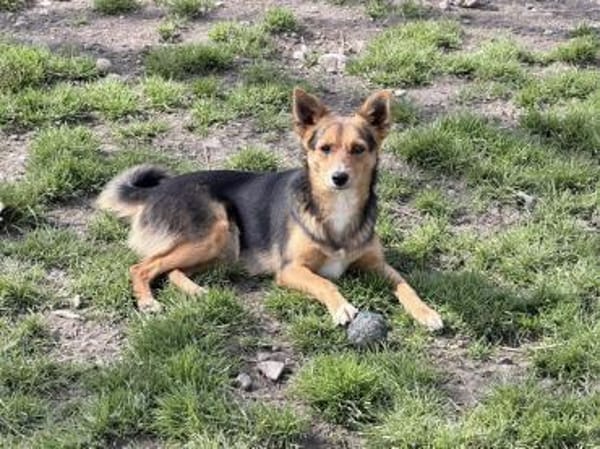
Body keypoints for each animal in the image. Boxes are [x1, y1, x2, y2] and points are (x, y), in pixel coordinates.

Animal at [96, 88, 443, 330]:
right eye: (325, 148)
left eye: (358, 149)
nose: (339, 178)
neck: (336, 208)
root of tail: (157, 190)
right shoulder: (290, 269)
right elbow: (326, 282)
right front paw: (342, 306)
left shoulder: (378, 265)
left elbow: (406, 286)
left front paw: (427, 312)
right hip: (215, 232)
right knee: (143, 267)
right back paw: (148, 303)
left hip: (225, 250)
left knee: (171, 270)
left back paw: (196, 291)